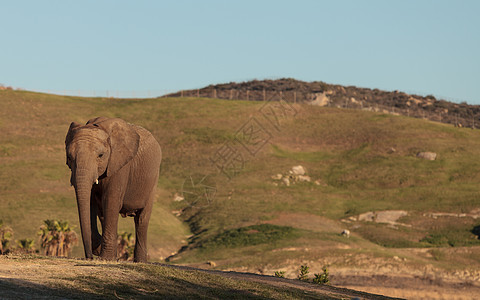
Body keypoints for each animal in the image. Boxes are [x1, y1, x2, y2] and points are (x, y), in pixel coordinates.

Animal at [64, 117, 162, 262]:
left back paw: (140, 261)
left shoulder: (120, 165)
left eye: (101, 155)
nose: (89, 257)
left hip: (153, 181)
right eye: (69, 157)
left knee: (141, 220)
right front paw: (102, 250)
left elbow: (110, 201)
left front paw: (106, 258)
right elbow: (91, 204)